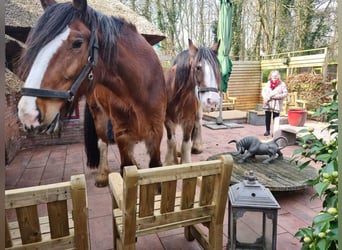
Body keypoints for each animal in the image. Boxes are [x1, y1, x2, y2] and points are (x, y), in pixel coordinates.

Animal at [16, 0, 166, 188]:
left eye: (77, 43)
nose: (27, 113)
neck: (139, 91)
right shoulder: (122, 133)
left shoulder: (156, 133)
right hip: (99, 115)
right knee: (102, 142)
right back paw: (102, 174)